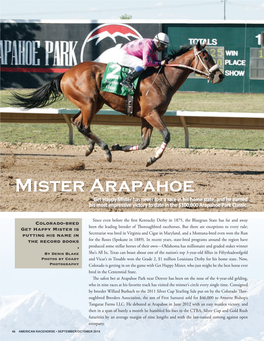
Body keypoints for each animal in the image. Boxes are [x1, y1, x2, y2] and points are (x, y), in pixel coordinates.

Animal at [10, 41, 225, 167]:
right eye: (205, 56)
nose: (220, 75)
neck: (163, 79)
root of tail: (66, 73)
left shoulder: (146, 116)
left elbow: (144, 143)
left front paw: (119, 147)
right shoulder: (151, 113)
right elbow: (166, 135)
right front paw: (152, 158)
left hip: (93, 103)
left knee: (77, 122)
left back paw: (91, 147)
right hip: (89, 102)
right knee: (84, 125)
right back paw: (104, 150)